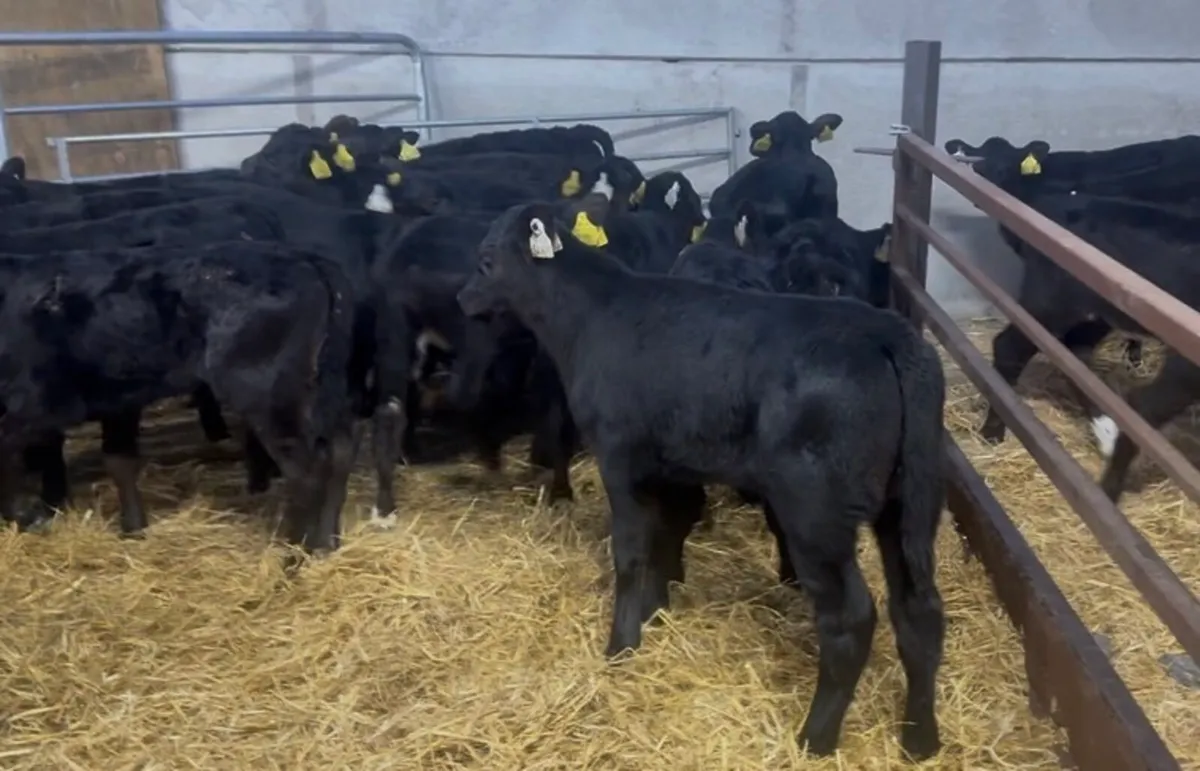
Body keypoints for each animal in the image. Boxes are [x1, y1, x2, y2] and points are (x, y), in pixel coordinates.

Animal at [456, 201, 947, 761]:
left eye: (486, 259)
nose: (462, 298)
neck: (590, 317)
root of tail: (888, 334)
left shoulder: (620, 459)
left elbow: (631, 552)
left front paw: (621, 643)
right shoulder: (671, 463)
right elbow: (670, 532)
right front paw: (655, 609)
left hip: (816, 514)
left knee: (851, 618)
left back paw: (816, 736)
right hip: (908, 505)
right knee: (920, 612)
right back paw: (920, 737)